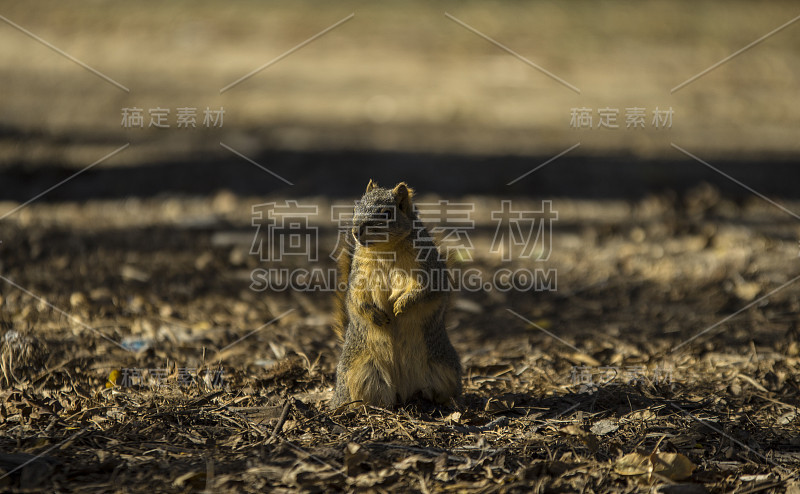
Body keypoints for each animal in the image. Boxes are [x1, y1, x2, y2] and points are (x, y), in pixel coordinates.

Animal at [332, 179, 462, 408]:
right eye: (355, 208)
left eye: (386, 213)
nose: (356, 230)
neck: (385, 249)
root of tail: (404, 390)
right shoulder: (360, 275)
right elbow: (357, 297)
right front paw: (375, 315)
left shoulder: (426, 268)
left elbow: (424, 289)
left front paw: (402, 305)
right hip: (359, 372)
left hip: (444, 367)